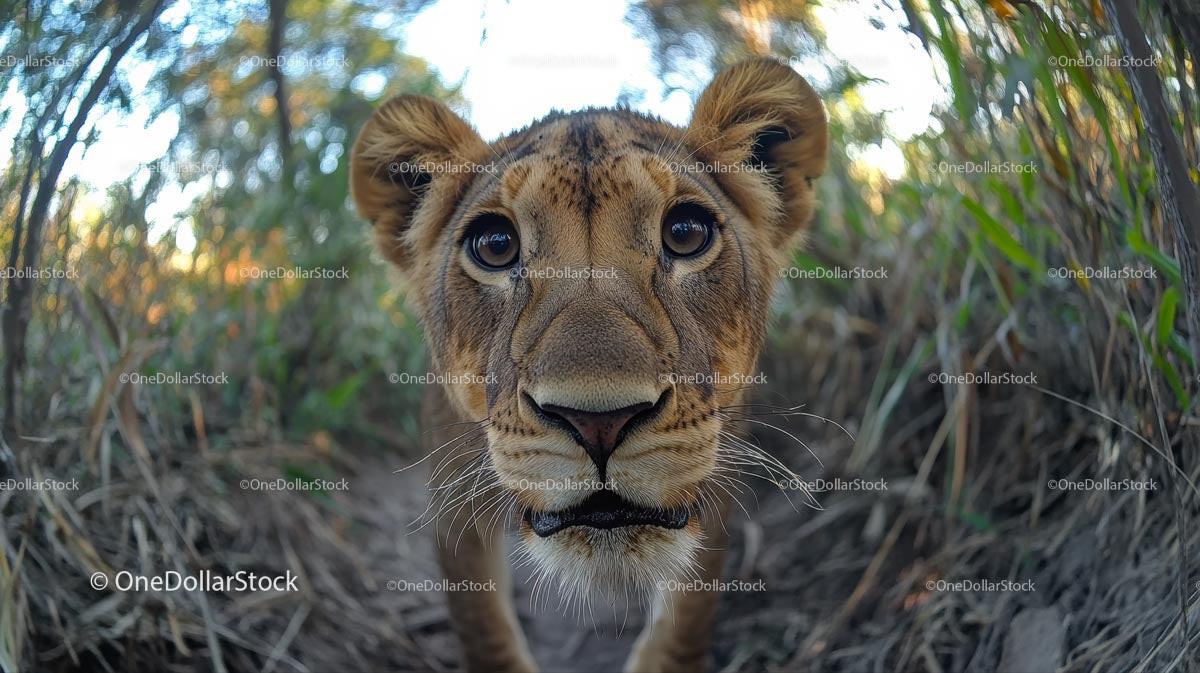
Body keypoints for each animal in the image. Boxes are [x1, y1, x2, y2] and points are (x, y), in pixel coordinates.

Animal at [350, 58, 828, 672]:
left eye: (686, 234)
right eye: (495, 245)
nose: (599, 423)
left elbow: (682, 626)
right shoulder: (454, 507)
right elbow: (485, 632)